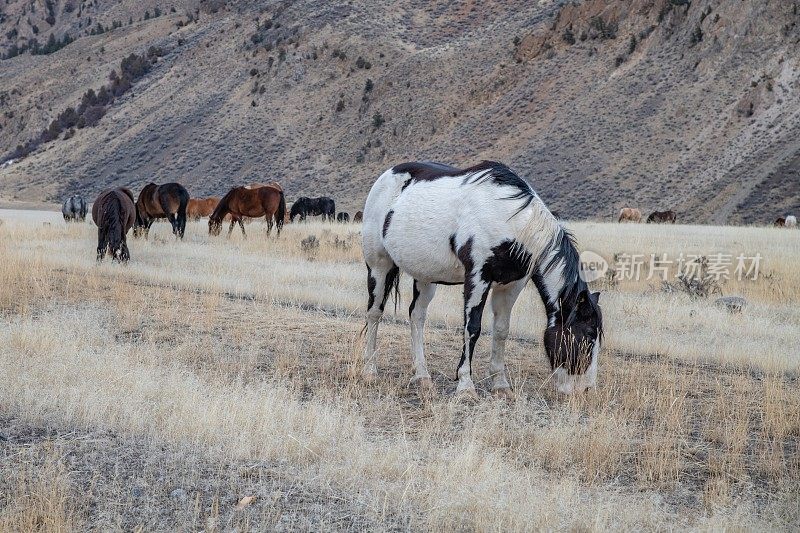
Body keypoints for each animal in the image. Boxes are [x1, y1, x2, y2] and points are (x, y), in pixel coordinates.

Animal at [360, 160, 600, 396]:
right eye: (588, 335)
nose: (587, 389)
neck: (509, 219)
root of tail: (386, 176)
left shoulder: (511, 285)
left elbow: (502, 330)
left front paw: (500, 383)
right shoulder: (477, 277)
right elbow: (472, 328)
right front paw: (466, 384)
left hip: (425, 275)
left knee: (417, 316)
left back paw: (422, 375)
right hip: (379, 266)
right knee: (374, 313)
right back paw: (370, 370)